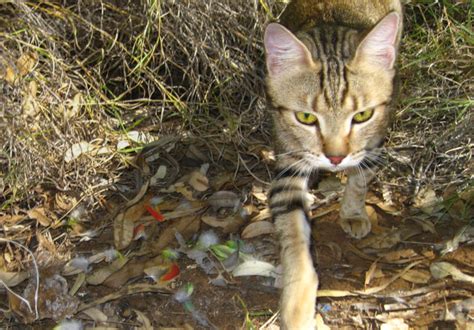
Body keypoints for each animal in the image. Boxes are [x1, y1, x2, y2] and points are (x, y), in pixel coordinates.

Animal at [264, 1, 402, 328]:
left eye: (363, 115)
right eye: (306, 118)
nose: (335, 158)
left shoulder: (373, 142)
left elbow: (360, 178)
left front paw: (353, 211)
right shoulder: (288, 167)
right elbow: (295, 242)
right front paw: (297, 308)